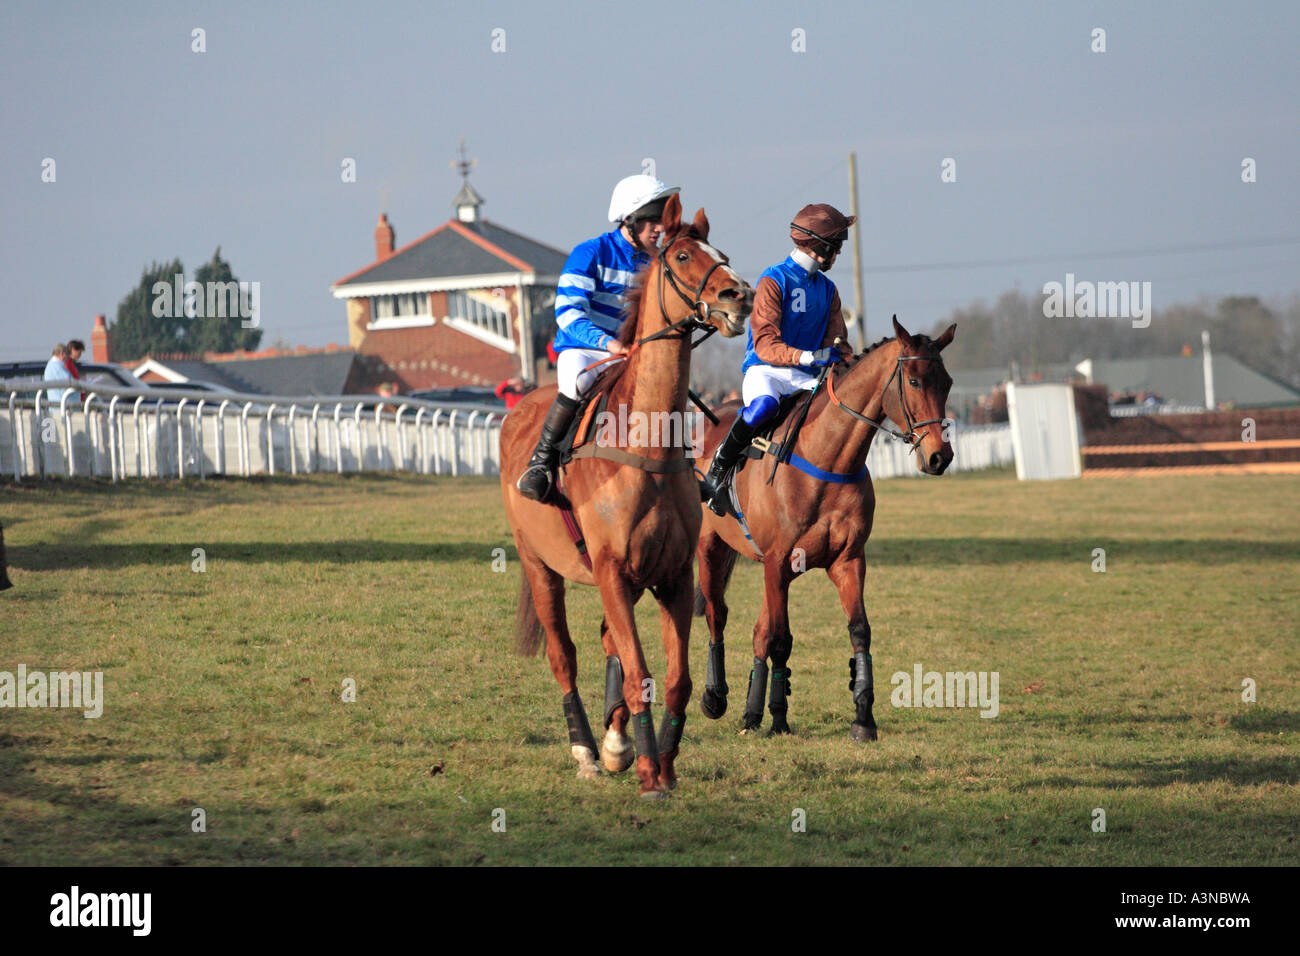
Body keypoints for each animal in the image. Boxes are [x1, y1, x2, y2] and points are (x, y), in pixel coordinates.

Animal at [501, 191, 759, 796]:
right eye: (683, 255)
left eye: (722, 253)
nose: (740, 296)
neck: (648, 448)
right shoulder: (614, 569)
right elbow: (639, 669)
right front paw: (646, 771)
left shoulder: (671, 576)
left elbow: (675, 678)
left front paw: (661, 761)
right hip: (540, 564)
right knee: (564, 655)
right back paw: (587, 750)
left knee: (605, 641)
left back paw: (614, 740)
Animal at [691, 317, 956, 743]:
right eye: (914, 381)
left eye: (946, 382)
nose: (939, 457)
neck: (827, 459)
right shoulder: (778, 561)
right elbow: (781, 641)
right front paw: (778, 717)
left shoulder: (846, 561)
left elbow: (858, 631)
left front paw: (863, 718)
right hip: (711, 547)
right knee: (718, 615)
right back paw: (715, 697)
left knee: (759, 631)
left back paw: (751, 713)